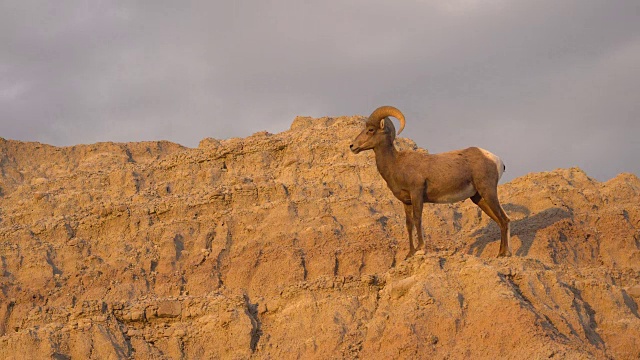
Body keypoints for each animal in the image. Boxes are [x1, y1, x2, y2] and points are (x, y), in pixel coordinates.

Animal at [350, 105, 510, 258]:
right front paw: (410, 253)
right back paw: (501, 253)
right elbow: (409, 224)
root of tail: (496, 160)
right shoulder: (406, 201)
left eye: (371, 130)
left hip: (488, 192)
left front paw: (420, 248)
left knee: (504, 219)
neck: (395, 164)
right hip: (478, 198)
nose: (352, 146)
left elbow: (417, 219)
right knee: (500, 221)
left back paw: (503, 254)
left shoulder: (417, 194)